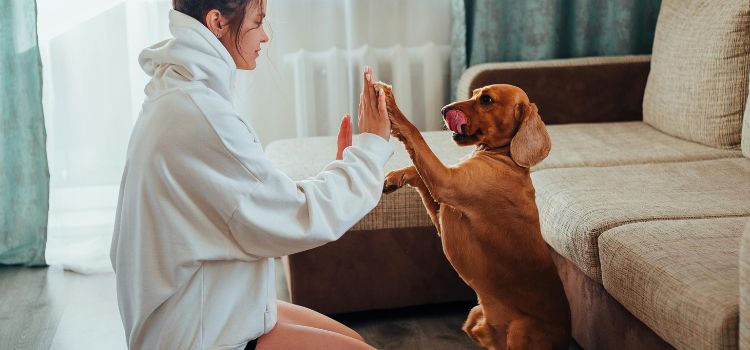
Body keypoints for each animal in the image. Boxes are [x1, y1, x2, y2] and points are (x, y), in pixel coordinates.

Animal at [378, 83, 572, 348]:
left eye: (487, 100)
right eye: (474, 93)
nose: (444, 110)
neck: (506, 158)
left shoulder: (446, 182)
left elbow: (415, 134)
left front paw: (391, 105)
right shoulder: (441, 209)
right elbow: (416, 171)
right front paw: (394, 178)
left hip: (519, 332)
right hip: (474, 317)